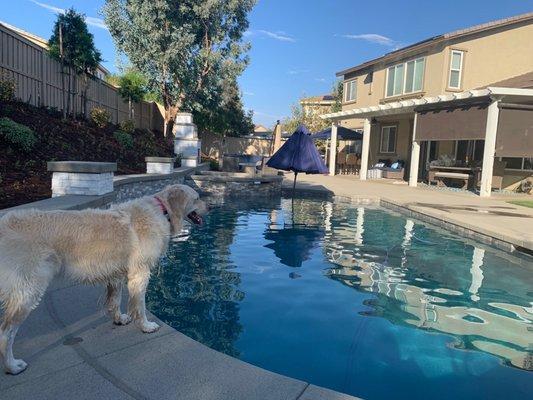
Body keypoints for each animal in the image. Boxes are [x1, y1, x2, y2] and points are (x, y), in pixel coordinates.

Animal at [0, 184, 206, 376]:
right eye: (197, 198)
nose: (210, 207)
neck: (162, 209)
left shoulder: (116, 273)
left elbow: (114, 300)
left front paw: (119, 319)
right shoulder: (140, 273)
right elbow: (140, 306)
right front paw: (146, 326)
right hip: (28, 291)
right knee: (6, 333)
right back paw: (12, 366)